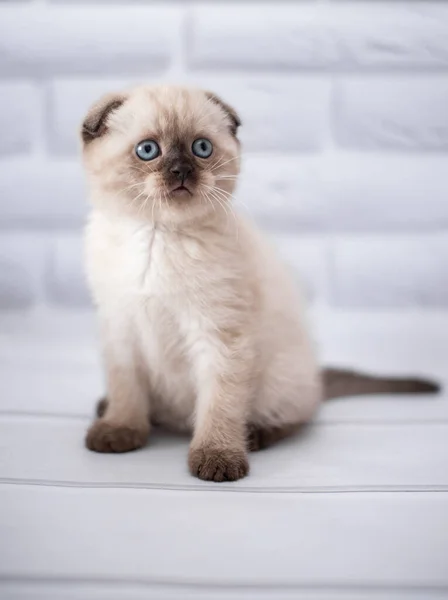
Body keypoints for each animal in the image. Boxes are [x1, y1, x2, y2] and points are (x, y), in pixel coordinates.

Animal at [79, 84, 438, 480]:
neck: (157, 235)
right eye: (148, 150)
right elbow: (126, 392)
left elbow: (219, 404)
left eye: (200, 148)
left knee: (297, 416)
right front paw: (119, 430)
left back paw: (254, 436)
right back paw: (110, 411)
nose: (181, 171)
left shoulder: (218, 337)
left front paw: (217, 457)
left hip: (281, 381)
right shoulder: (121, 332)